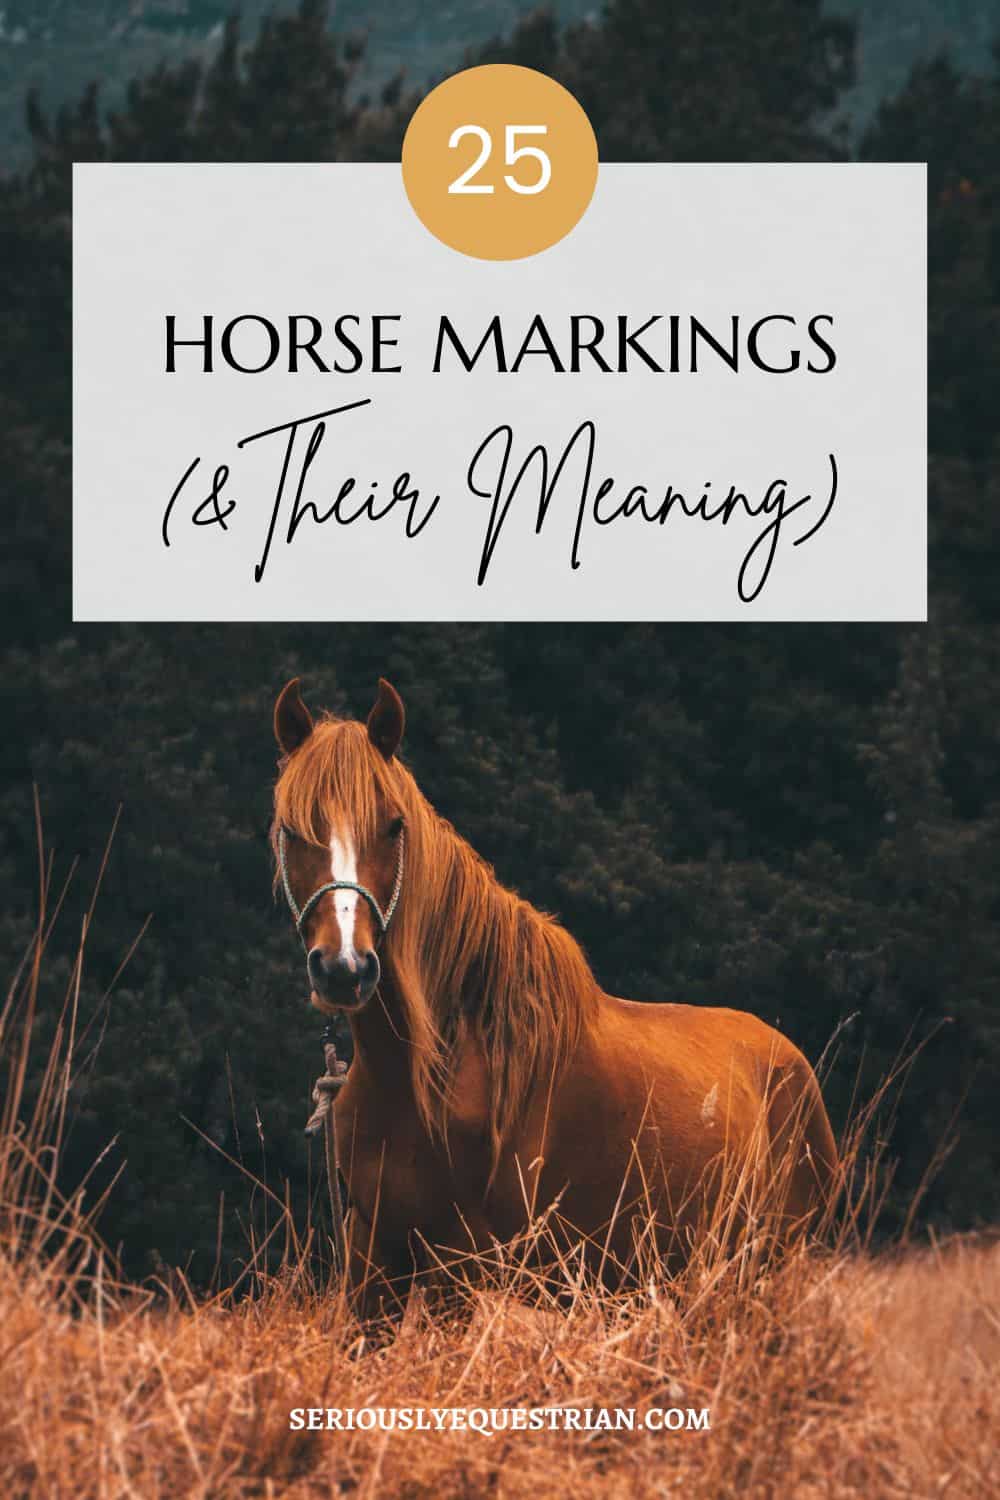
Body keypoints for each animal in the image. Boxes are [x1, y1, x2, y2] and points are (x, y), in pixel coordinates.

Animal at [271, 677, 839, 1318]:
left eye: (393, 825)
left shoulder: (459, 1270)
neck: (435, 1071)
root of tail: (794, 1064)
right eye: (290, 829)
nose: (344, 968)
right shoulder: (372, 1266)